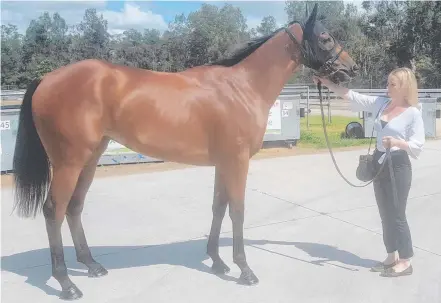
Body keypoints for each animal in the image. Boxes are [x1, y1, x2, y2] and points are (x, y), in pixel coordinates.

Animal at [12, 4, 358, 302]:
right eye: (325, 37)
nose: (351, 68)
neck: (242, 88)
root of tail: (47, 79)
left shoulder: (223, 162)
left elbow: (218, 207)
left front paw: (217, 261)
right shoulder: (237, 161)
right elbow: (237, 211)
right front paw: (244, 269)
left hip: (90, 158)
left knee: (74, 207)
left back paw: (92, 265)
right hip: (68, 162)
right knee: (53, 211)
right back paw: (66, 284)